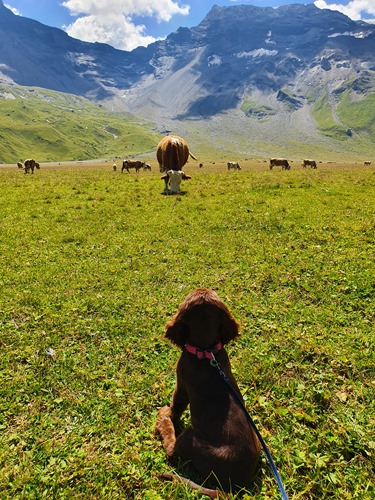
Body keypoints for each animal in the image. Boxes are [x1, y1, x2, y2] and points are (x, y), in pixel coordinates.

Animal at [156, 288, 262, 494]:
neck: (205, 350)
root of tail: (236, 486)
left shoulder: (181, 385)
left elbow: (175, 406)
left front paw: (166, 414)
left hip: (190, 437)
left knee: (172, 452)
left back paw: (163, 423)